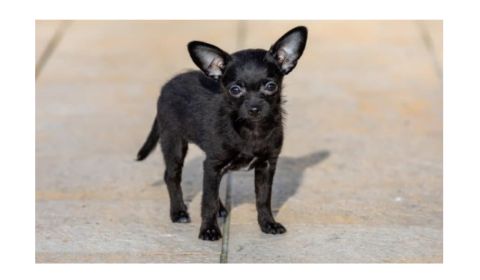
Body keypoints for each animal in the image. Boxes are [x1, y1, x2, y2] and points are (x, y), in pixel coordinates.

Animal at [136, 26, 308, 241]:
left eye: (271, 86)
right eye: (235, 90)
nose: (254, 108)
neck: (251, 129)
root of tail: (167, 85)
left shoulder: (266, 165)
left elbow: (263, 198)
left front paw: (268, 223)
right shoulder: (213, 164)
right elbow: (207, 201)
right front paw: (209, 230)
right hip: (173, 141)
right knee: (171, 176)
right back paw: (179, 212)